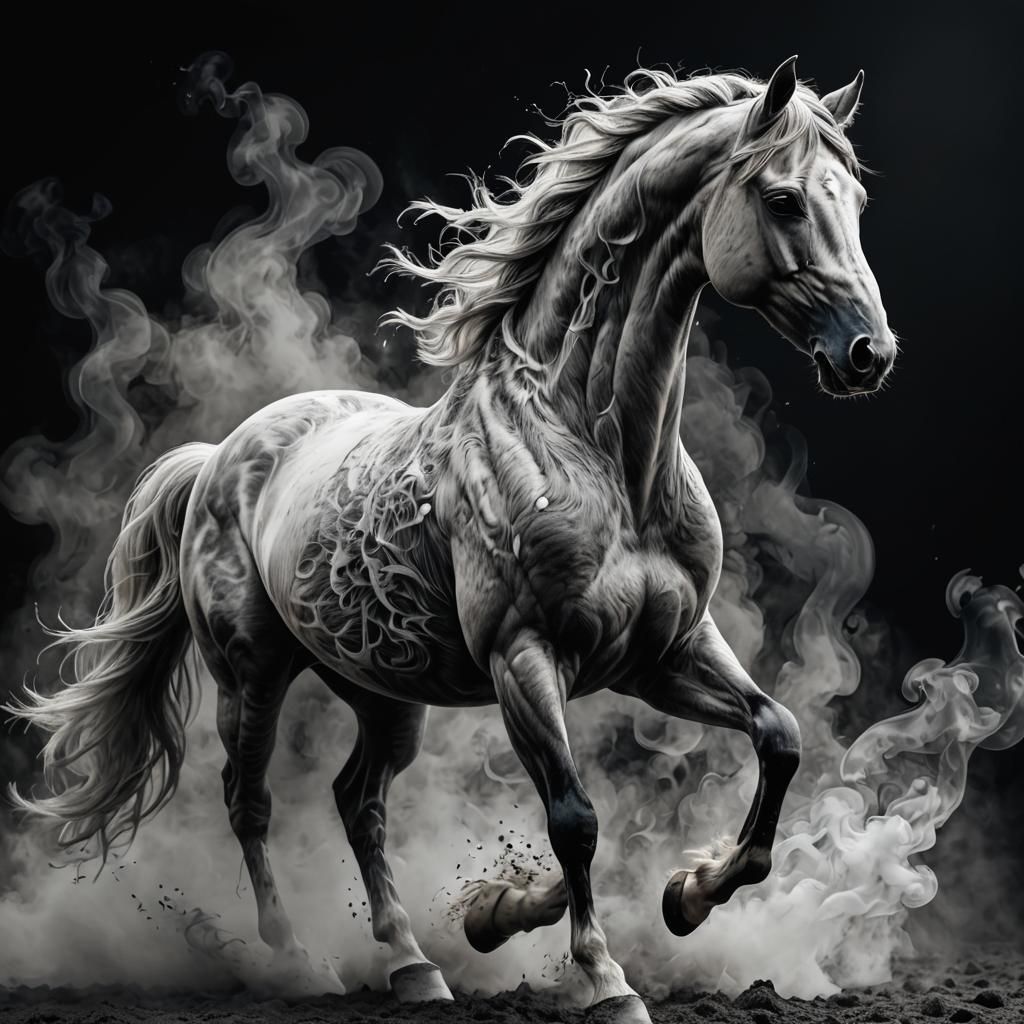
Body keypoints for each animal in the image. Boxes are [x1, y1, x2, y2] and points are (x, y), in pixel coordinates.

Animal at [7, 56, 895, 1022]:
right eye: (783, 199)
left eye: (856, 199)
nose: (869, 354)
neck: (596, 450)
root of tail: (218, 458)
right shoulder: (524, 658)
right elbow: (576, 818)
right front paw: (603, 976)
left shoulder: (666, 653)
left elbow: (777, 737)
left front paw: (670, 895)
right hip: (252, 671)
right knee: (250, 801)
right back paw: (297, 962)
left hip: (383, 692)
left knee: (358, 802)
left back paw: (415, 963)